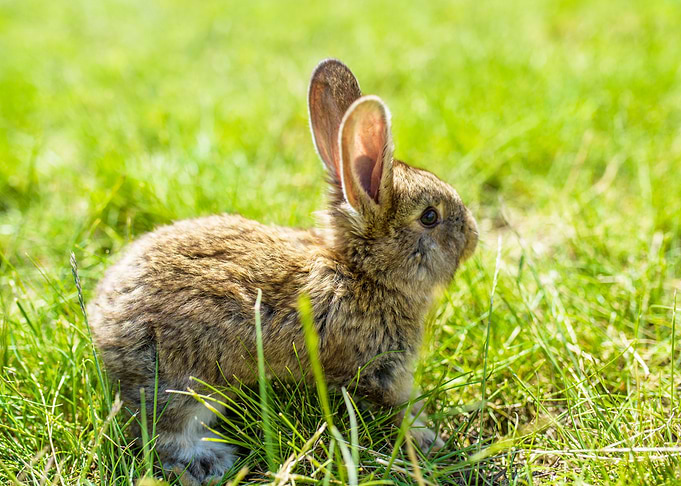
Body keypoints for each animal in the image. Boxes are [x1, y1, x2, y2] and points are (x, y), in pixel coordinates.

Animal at [88, 58, 478, 485]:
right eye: (430, 217)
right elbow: (397, 409)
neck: (362, 273)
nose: (474, 237)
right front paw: (428, 439)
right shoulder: (379, 372)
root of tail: (101, 322)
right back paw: (210, 460)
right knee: (161, 433)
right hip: (188, 383)